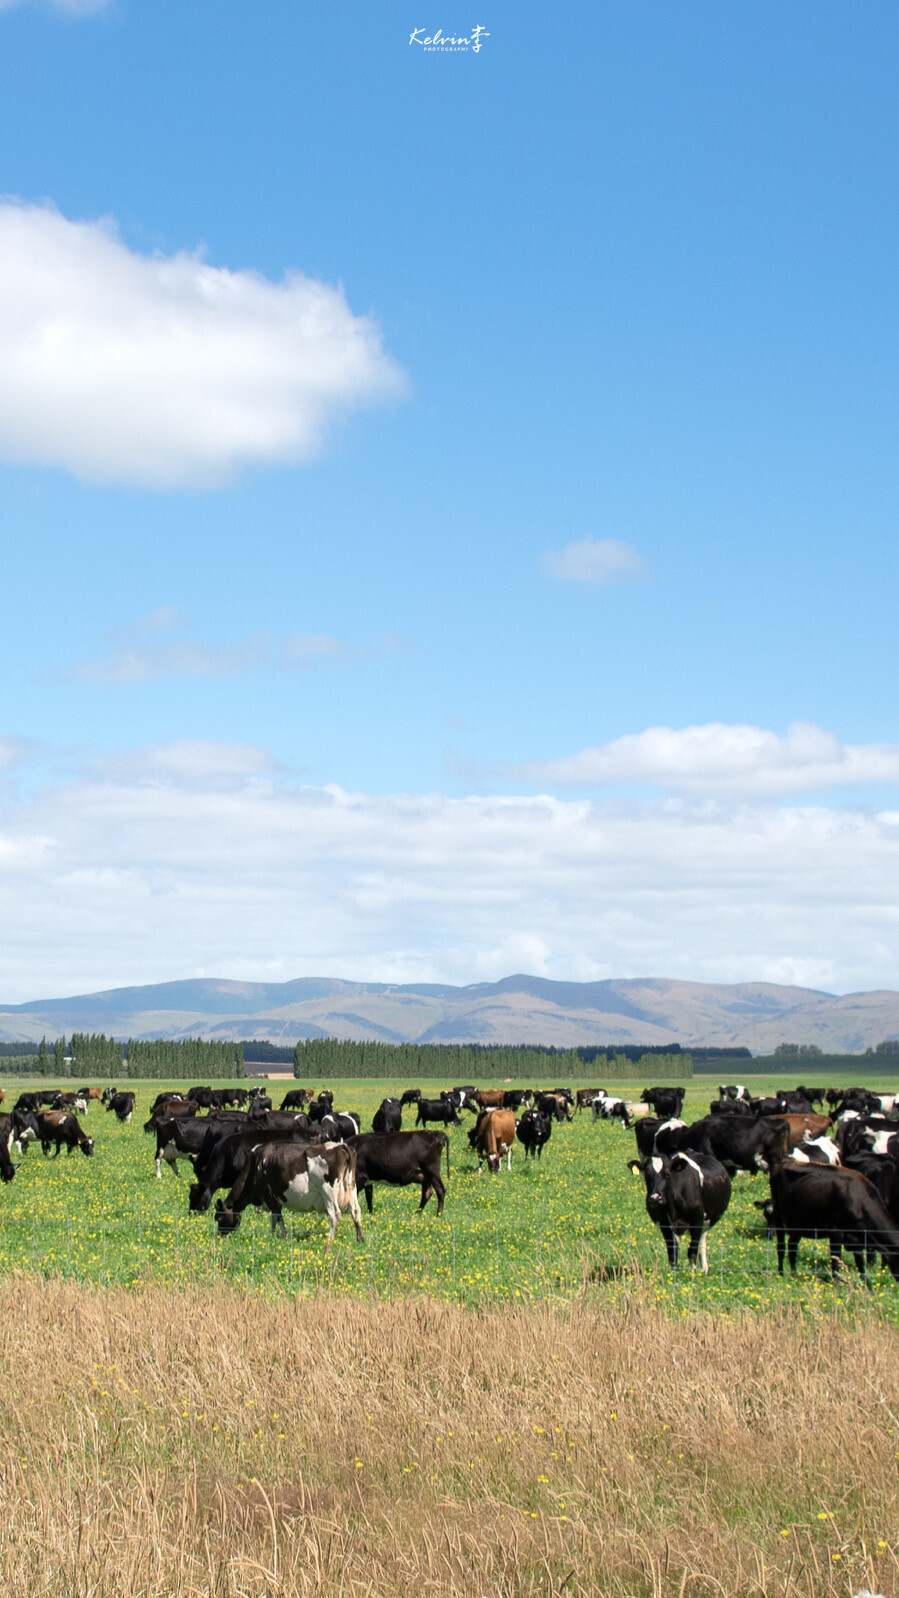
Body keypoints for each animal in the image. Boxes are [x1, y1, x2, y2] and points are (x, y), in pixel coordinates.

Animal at [213, 1144, 362, 1240]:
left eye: (219, 1218)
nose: (221, 1235)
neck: (255, 1167)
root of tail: (341, 1146)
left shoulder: (270, 1198)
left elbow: (278, 1218)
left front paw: (283, 1235)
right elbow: (273, 1219)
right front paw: (272, 1236)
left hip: (328, 1191)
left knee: (334, 1214)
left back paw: (329, 1239)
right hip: (351, 1188)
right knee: (356, 1211)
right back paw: (360, 1238)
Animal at [766, 1156, 899, 1278]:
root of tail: (785, 1161)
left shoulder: (856, 1239)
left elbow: (861, 1267)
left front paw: (867, 1287)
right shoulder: (836, 1232)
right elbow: (836, 1264)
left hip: (799, 1222)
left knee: (792, 1245)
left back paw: (794, 1275)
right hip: (778, 1215)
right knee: (781, 1247)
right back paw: (781, 1274)